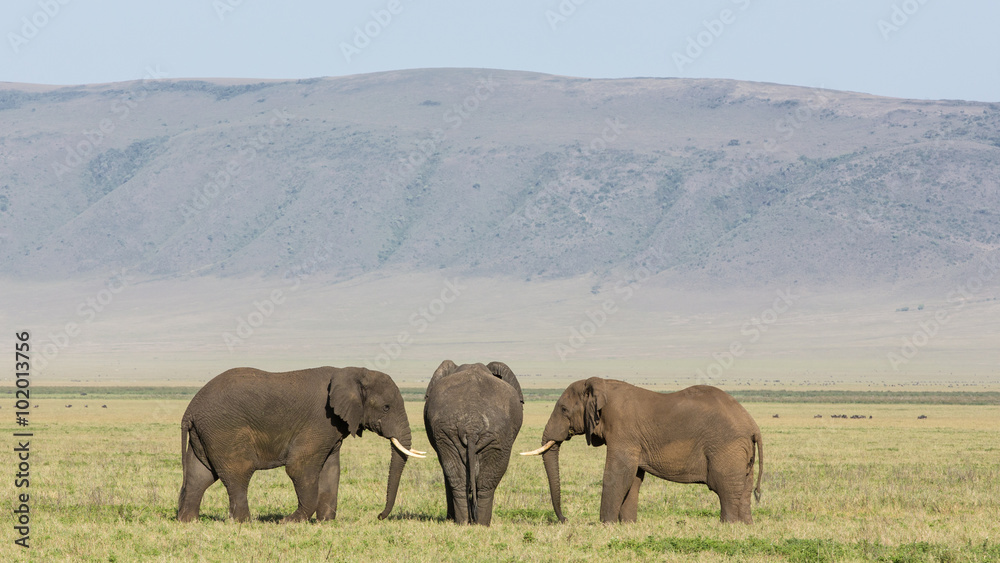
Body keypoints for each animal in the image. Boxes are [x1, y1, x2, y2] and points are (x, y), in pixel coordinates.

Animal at [177, 366, 425, 523]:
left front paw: (326, 522)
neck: (352, 372)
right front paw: (290, 522)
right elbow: (299, 467)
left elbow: (331, 469)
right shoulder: (320, 420)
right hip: (224, 431)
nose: (379, 516)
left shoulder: (332, 428)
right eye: (386, 407)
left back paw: (189, 521)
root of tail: (190, 410)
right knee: (238, 473)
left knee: (200, 475)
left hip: (206, 434)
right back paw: (244, 523)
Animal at [423, 360, 524, 525]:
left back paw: (470, 523)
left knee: (463, 478)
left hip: (490, 435)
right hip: (462, 434)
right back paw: (476, 523)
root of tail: (471, 426)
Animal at [522, 380, 763, 524]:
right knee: (743, 490)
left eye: (564, 409)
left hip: (726, 448)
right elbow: (634, 478)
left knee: (725, 488)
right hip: (740, 452)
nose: (565, 520)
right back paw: (745, 526)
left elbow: (618, 474)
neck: (602, 385)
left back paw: (728, 526)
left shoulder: (623, 431)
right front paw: (628, 525)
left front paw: (606, 525)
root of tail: (753, 425)